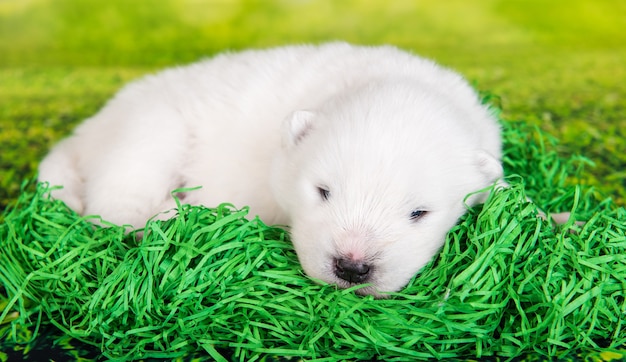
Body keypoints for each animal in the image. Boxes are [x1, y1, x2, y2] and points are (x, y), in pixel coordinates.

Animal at [37, 43, 502, 296]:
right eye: (323, 192)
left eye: (419, 213)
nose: (352, 268)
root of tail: (85, 133)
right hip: (150, 130)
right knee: (116, 205)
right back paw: (174, 212)